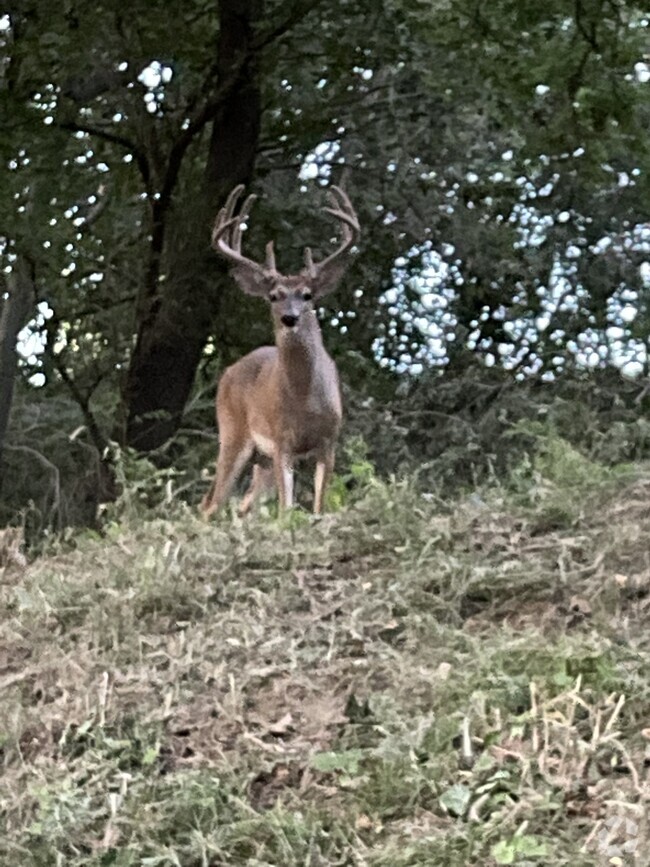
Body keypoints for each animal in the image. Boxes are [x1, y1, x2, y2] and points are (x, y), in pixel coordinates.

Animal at [199, 186, 360, 520]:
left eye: (307, 295)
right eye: (273, 296)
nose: (290, 318)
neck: (306, 402)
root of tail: (229, 372)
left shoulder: (329, 441)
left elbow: (318, 507)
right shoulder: (281, 441)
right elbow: (287, 510)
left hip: (261, 461)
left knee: (245, 505)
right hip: (233, 434)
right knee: (211, 503)